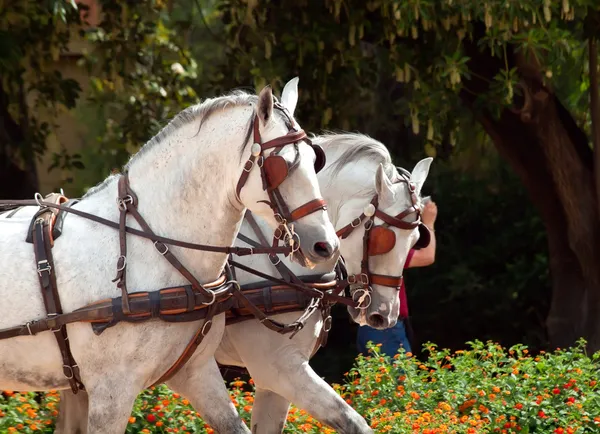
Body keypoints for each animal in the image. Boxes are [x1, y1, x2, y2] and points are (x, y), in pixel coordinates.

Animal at [0, 82, 338, 434]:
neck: (147, 246)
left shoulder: (197, 372)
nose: (325, 245)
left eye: (315, 161)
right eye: (281, 165)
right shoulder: (111, 390)